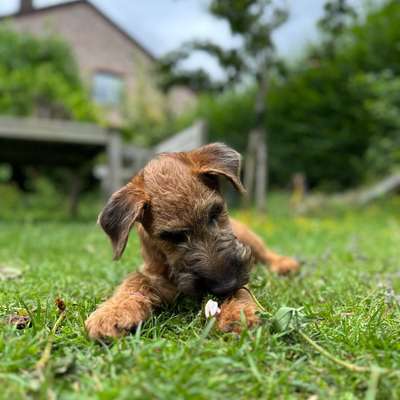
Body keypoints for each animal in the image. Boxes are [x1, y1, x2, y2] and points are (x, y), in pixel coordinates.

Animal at [86, 142, 298, 340]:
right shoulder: (151, 273)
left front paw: (238, 314)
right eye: (171, 236)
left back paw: (285, 264)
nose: (226, 285)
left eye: (215, 212)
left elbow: (243, 290)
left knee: (266, 254)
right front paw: (112, 312)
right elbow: (133, 282)